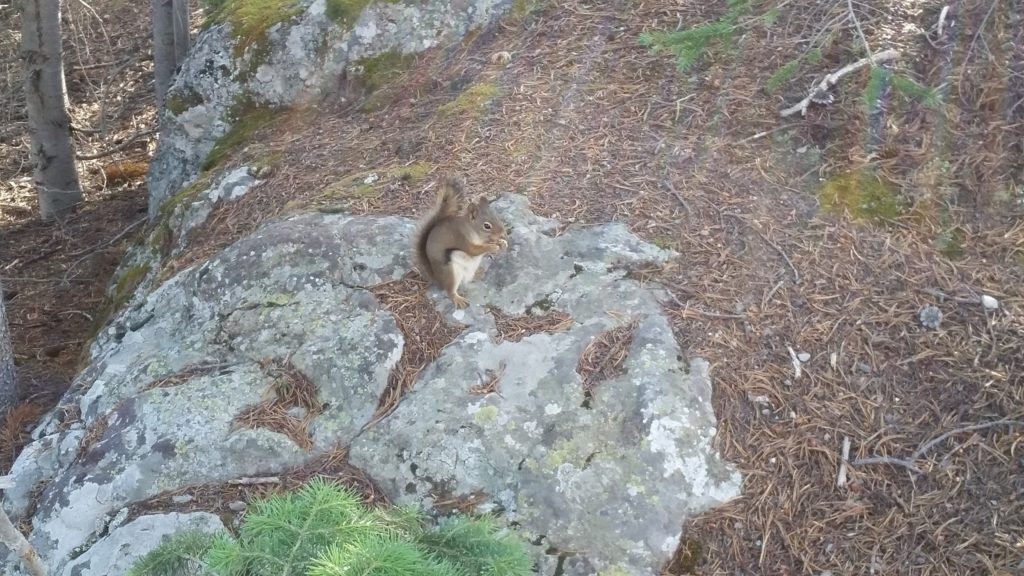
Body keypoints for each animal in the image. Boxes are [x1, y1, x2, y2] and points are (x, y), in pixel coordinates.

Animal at [413, 174, 509, 307]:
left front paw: (502, 243)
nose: (503, 233)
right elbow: (474, 250)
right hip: (451, 273)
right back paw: (458, 299)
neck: (472, 230)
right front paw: (493, 247)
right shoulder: (462, 239)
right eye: (487, 226)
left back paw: (478, 273)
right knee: (450, 290)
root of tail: (437, 279)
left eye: (497, 216)